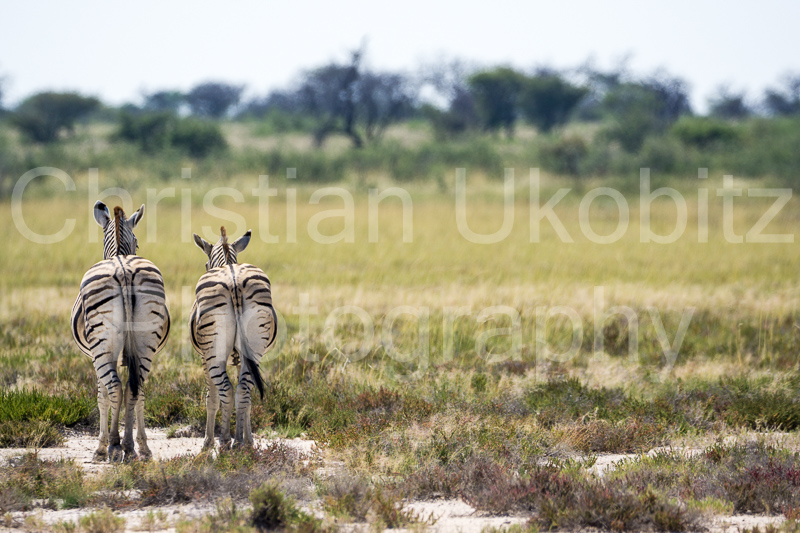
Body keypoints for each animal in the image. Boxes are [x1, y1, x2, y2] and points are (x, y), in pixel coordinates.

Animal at [71, 201, 170, 462]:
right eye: (138, 242)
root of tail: (123, 269)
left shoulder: (95, 356)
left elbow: (102, 397)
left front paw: (100, 447)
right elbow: (138, 395)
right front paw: (142, 447)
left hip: (102, 347)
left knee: (115, 387)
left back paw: (115, 446)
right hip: (146, 341)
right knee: (136, 388)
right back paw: (131, 447)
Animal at [190, 226, 277, 449]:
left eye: (205, 264)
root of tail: (234, 281)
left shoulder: (203, 357)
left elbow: (211, 398)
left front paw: (207, 442)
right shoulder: (240, 359)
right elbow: (246, 401)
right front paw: (249, 439)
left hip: (214, 353)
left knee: (227, 391)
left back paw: (225, 440)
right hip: (254, 348)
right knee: (243, 391)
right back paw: (238, 443)